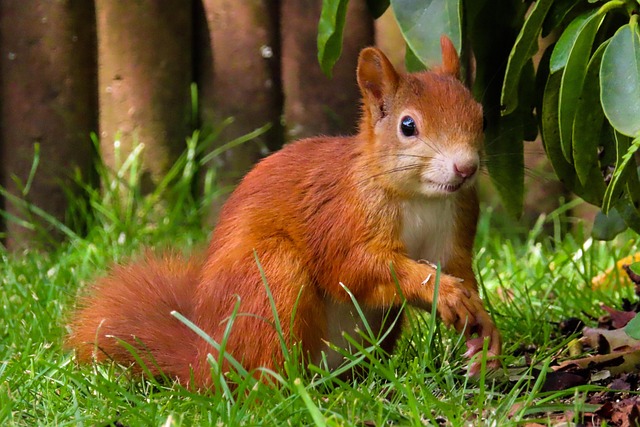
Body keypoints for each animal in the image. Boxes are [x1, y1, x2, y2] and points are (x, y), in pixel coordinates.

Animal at [67, 36, 501, 389]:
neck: (420, 197)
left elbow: (458, 268)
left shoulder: (457, 220)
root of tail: (204, 362)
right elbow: (354, 265)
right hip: (269, 276)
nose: (466, 168)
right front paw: (439, 288)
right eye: (407, 126)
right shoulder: (340, 216)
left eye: (481, 117)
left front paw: (483, 327)